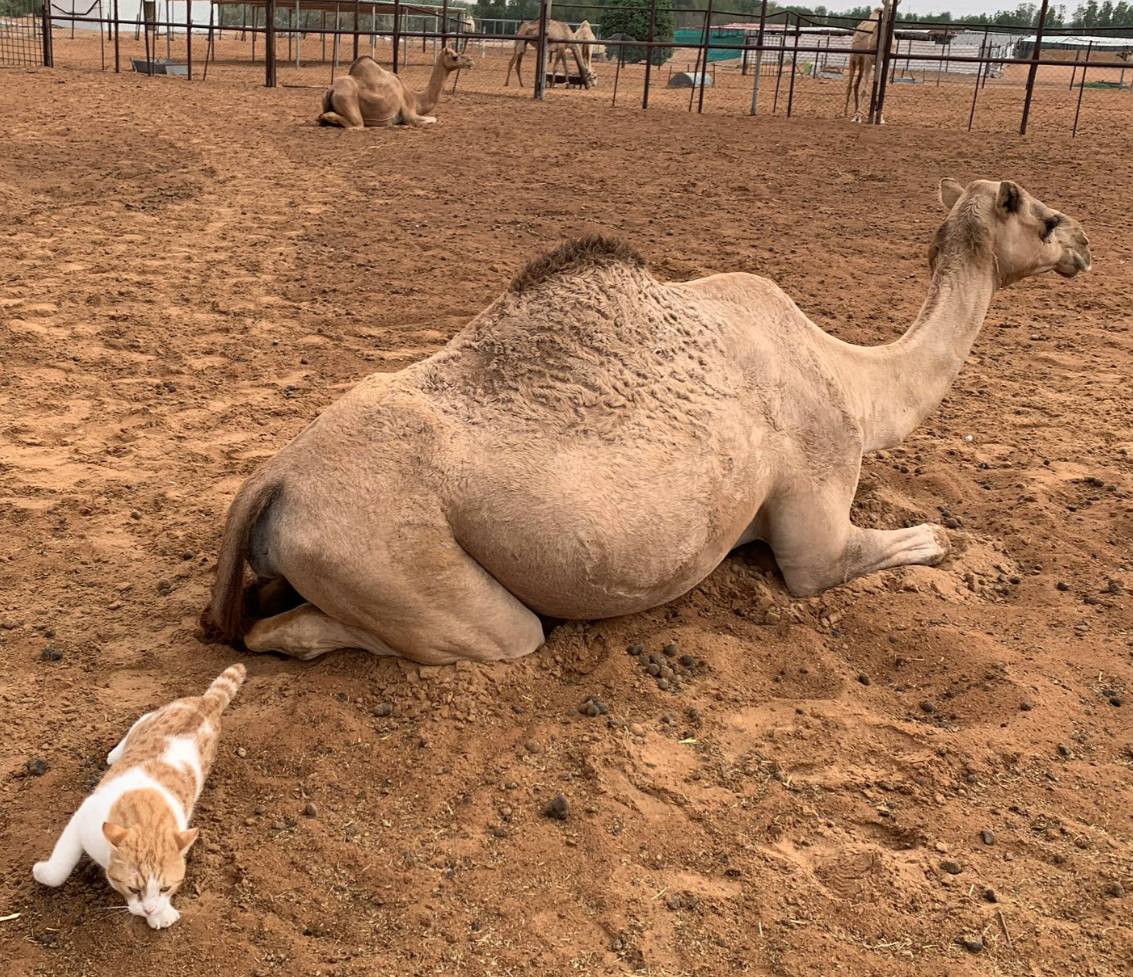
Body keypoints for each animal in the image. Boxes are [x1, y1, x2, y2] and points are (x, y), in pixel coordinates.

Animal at [34, 666, 246, 933]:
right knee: (139, 721)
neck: (146, 816)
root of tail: (207, 702)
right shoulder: (83, 817)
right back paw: (116, 753)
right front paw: (42, 872)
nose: (149, 910)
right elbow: (58, 871)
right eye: (133, 889)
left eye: (165, 888)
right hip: (152, 718)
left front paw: (162, 913)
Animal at [201, 177, 1087, 666]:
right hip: (400, 561)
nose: (1084, 242)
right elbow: (894, 545)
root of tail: (274, 478)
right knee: (301, 635)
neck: (853, 380)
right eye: (1041, 217)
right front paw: (946, 543)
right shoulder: (815, 522)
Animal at [319, 45, 473, 128]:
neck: (415, 98)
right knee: (355, 123)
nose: (471, 61)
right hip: (349, 101)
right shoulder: (409, 115)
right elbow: (433, 119)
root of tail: (332, 89)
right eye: (454, 56)